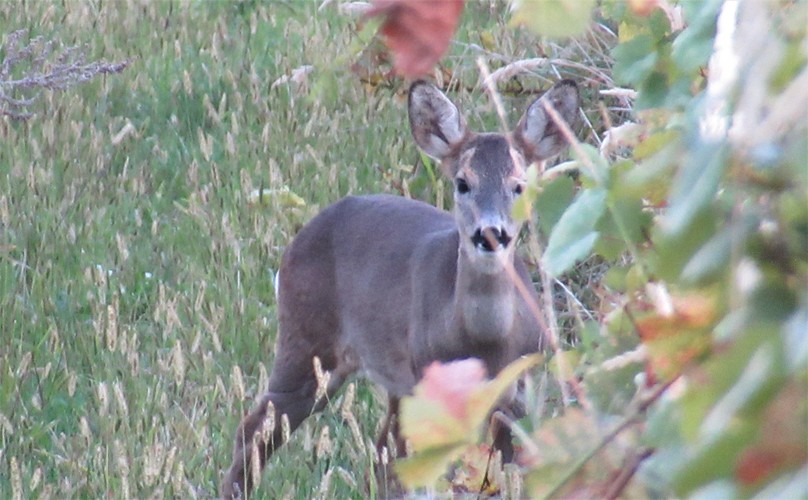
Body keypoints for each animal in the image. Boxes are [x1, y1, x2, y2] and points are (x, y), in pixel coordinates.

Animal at [221, 80, 576, 498]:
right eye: (463, 183)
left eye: (519, 185)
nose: (491, 234)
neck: (485, 344)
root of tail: (303, 234)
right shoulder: (428, 386)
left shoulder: (518, 394)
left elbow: (505, 472)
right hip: (305, 338)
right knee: (257, 428)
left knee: (380, 455)